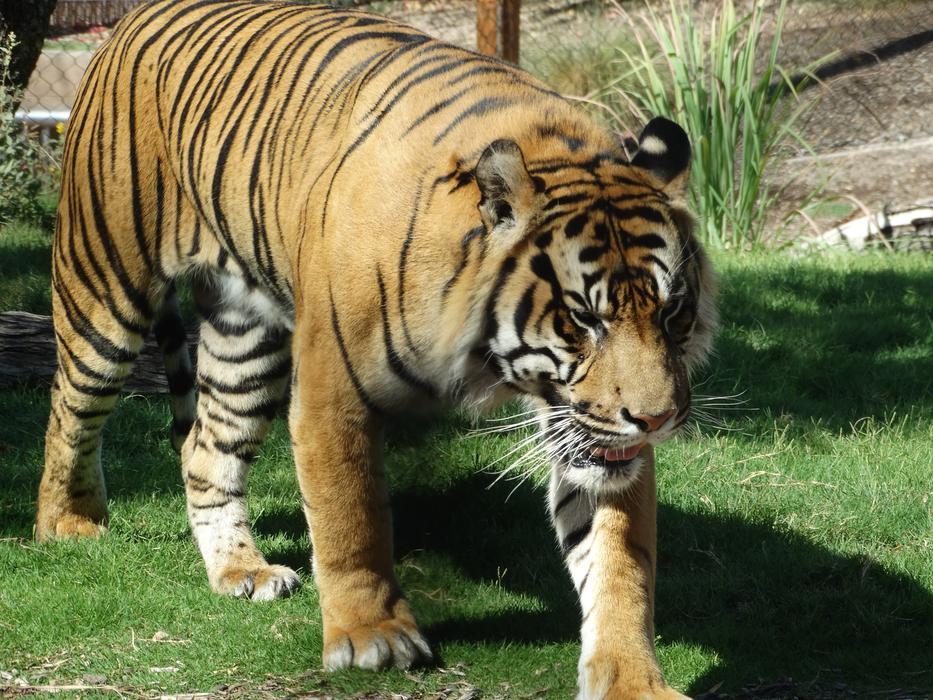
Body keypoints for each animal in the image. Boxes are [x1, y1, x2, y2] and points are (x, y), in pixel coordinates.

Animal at [34, 0, 717, 697]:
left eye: (672, 313)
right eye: (584, 318)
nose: (658, 419)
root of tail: (130, 20)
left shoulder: (590, 427)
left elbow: (619, 560)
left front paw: (633, 679)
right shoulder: (332, 390)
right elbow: (350, 515)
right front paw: (372, 635)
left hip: (245, 337)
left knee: (205, 445)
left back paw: (241, 571)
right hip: (102, 286)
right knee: (70, 407)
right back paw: (68, 523)